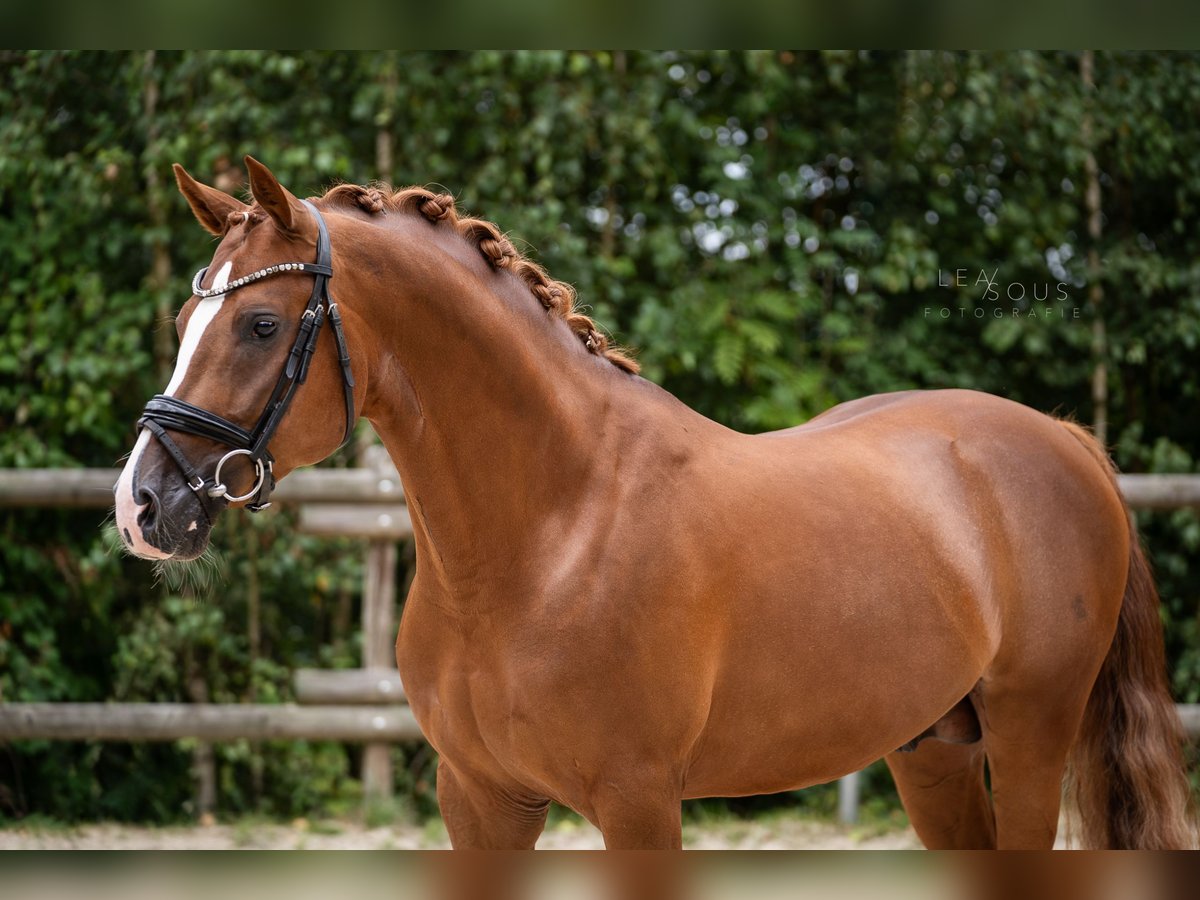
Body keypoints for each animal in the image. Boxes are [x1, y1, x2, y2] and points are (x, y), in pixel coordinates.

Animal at [114, 158, 1190, 849]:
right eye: (187, 314)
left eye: (260, 323)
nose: (143, 505)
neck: (550, 534)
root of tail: (1065, 441)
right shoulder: (482, 801)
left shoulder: (638, 803)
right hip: (934, 752)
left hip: (1031, 735)